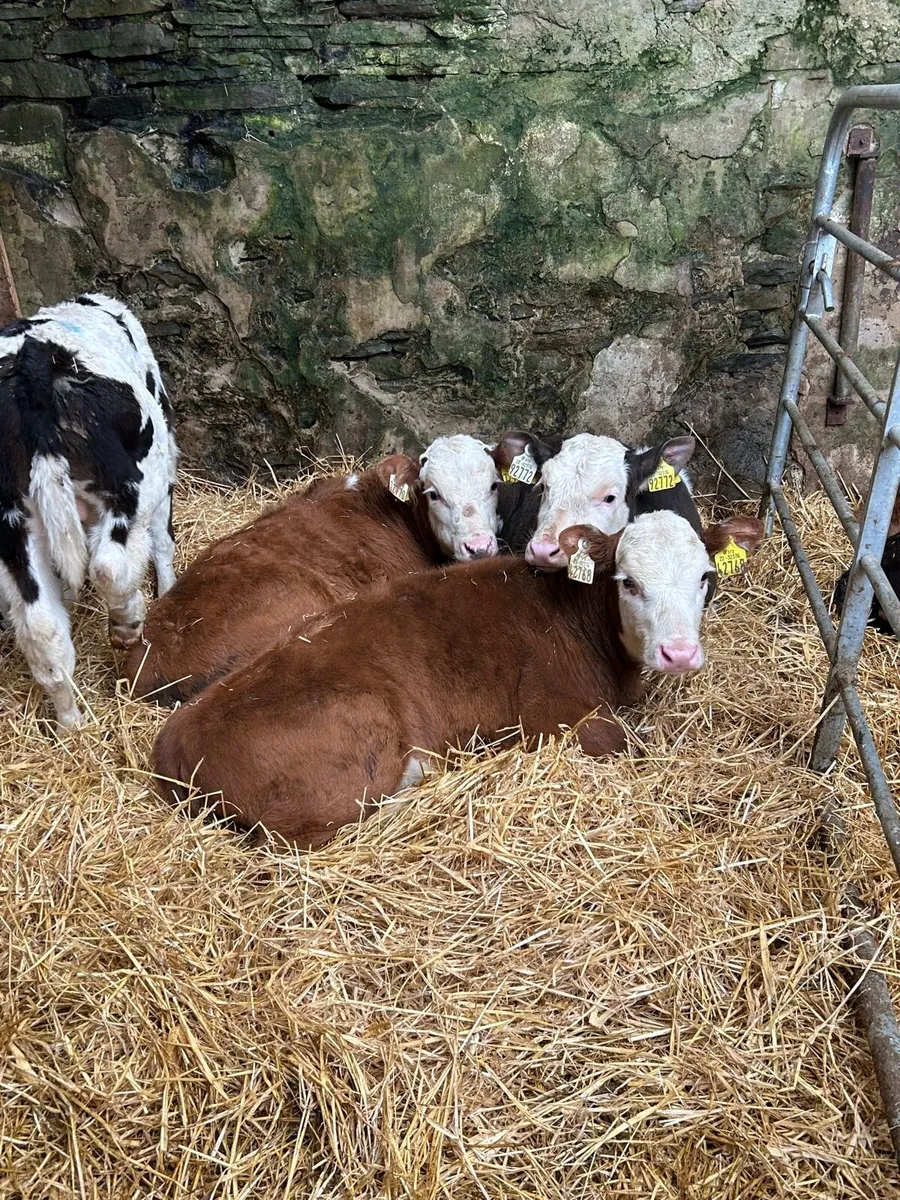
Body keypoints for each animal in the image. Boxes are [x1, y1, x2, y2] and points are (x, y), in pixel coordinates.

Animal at [0, 293, 177, 728]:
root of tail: (30, 372)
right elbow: (163, 541)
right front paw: (168, 592)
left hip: (12, 526)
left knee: (42, 628)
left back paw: (71, 725)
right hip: (135, 480)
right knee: (110, 566)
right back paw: (128, 623)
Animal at [152, 510, 765, 849]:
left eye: (705, 576)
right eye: (628, 582)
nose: (679, 653)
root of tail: (175, 740)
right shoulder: (560, 720)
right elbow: (628, 741)